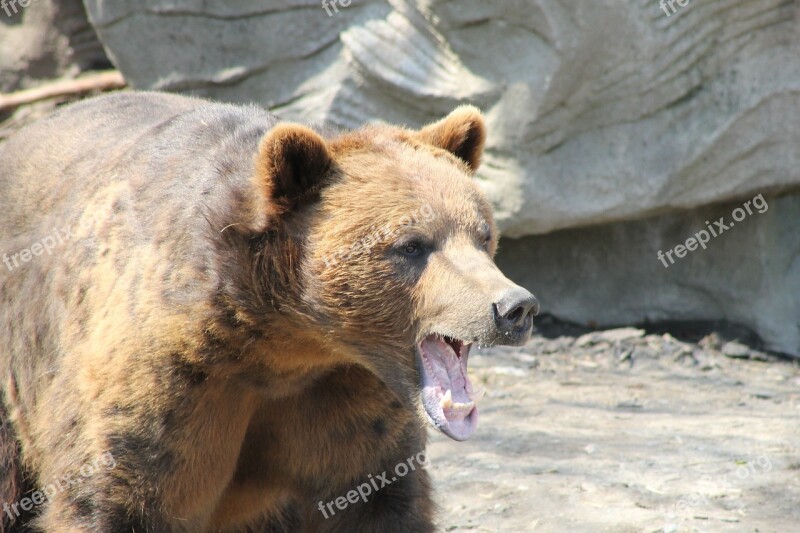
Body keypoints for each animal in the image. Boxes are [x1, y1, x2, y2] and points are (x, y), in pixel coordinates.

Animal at [1, 93, 536, 528]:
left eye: (483, 234)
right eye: (411, 245)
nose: (514, 307)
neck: (284, 341)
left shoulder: (347, 405)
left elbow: (379, 500)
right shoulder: (164, 380)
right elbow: (114, 494)